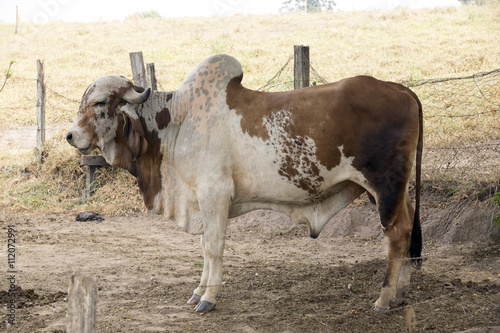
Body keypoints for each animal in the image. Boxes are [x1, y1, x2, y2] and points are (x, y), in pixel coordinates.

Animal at [67, 53, 422, 312]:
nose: (71, 136)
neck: (178, 121)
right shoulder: (201, 199)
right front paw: (198, 291)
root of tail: (402, 89)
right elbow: (204, 248)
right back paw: (402, 292)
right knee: (407, 227)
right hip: (397, 190)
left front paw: (208, 298)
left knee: (396, 235)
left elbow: (213, 246)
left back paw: (384, 298)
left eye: (99, 103)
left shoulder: (214, 194)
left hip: (384, 186)